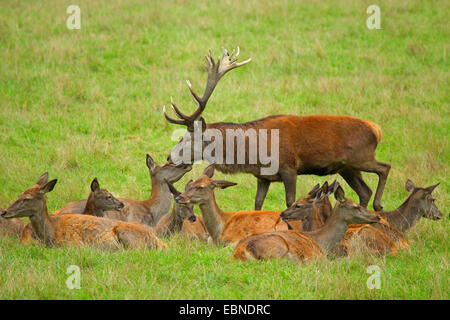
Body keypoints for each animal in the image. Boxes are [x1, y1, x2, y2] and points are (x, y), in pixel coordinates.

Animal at [1, 172, 165, 250]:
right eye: (19, 195)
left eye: (27, 198)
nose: (4, 212)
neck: (50, 232)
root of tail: (160, 243)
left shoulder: (73, 244)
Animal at [164, 46, 390, 211]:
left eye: (189, 138)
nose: (169, 157)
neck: (252, 154)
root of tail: (377, 129)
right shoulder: (263, 177)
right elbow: (257, 203)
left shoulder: (289, 168)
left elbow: (290, 201)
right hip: (347, 167)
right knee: (364, 191)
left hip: (361, 157)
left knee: (384, 167)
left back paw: (378, 205)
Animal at [230, 185, 382, 262]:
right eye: (356, 206)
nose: (377, 217)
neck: (321, 242)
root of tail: (240, 252)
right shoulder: (317, 258)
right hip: (277, 248)